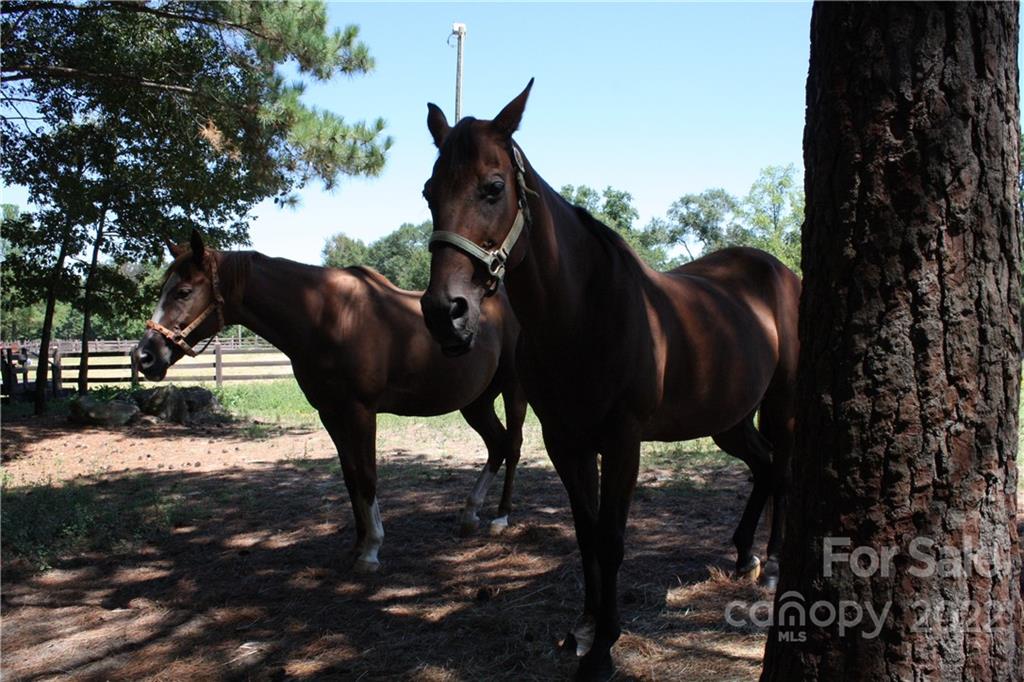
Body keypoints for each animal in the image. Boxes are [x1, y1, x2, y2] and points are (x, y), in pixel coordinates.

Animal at [135, 230, 527, 572]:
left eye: (184, 291)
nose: (144, 356)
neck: (328, 316)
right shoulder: (330, 413)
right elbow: (350, 476)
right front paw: (356, 545)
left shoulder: (361, 412)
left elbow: (367, 475)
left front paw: (371, 551)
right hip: (475, 401)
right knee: (497, 444)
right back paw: (470, 515)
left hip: (513, 390)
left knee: (513, 444)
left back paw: (501, 517)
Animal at [419, 81, 800, 679]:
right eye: (430, 192)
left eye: (493, 187)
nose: (444, 313)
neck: (583, 314)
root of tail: (780, 272)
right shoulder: (566, 441)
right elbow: (587, 535)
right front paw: (584, 628)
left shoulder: (623, 442)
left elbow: (613, 539)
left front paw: (601, 651)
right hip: (729, 420)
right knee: (762, 468)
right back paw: (743, 555)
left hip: (780, 405)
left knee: (781, 472)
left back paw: (776, 563)